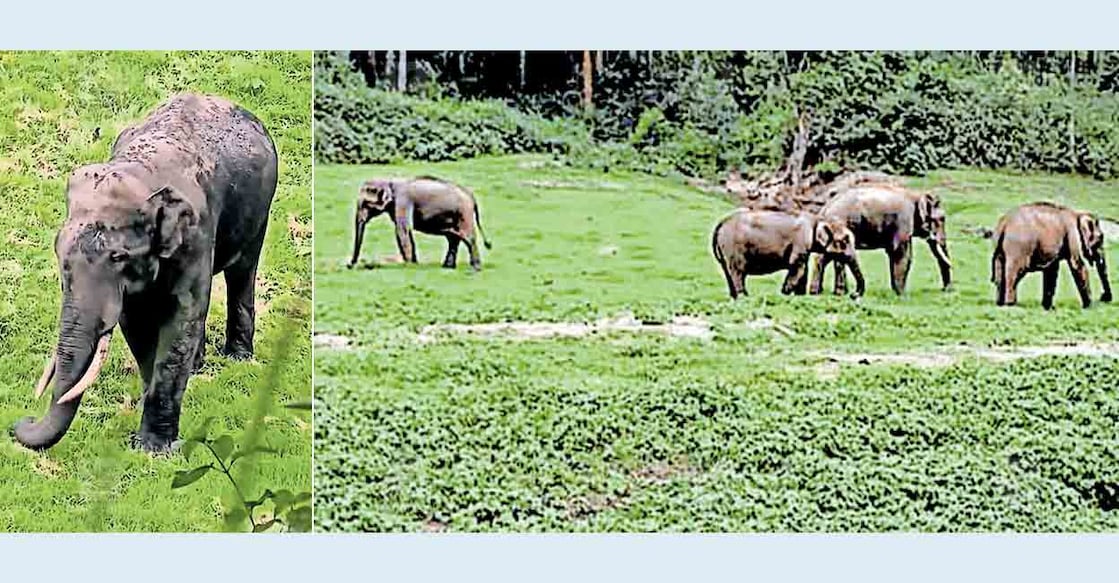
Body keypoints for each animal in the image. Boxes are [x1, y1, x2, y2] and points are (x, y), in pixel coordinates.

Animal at [13, 93, 277, 452]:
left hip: (260, 211)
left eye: (118, 256)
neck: (138, 172)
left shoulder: (195, 236)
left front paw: (154, 449)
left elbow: (181, 320)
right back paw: (198, 366)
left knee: (242, 273)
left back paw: (238, 359)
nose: (22, 421)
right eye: (58, 253)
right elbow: (137, 325)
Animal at [349, 175, 490, 269]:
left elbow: (401, 230)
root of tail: (472, 196)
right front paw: (414, 263)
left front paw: (408, 265)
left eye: (365, 204)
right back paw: (447, 267)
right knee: (453, 238)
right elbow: (407, 231)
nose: (350, 265)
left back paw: (475, 268)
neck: (389, 181)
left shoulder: (402, 201)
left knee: (468, 238)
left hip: (463, 214)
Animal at [707, 209, 863, 297]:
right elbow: (798, 267)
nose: (854, 295)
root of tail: (720, 224)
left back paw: (735, 296)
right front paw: (785, 293)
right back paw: (744, 296)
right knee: (738, 272)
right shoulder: (800, 242)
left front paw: (799, 295)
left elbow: (803, 269)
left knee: (728, 272)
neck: (818, 219)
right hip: (733, 247)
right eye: (845, 241)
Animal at [810, 185, 948, 295]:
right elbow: (902, 254)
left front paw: (896, 291)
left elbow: (895, 253)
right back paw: (827, 292)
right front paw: (902, 295)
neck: (916, 194)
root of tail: (825, 208)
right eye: (942, 219)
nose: (946, 290)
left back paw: (826, 292)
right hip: (840, 224)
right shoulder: (903, 221)